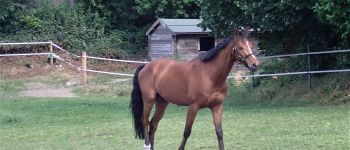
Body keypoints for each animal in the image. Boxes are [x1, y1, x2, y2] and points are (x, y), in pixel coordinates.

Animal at [130, 27, 258, 149]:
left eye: (251, 45)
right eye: (240, 47)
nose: (255, 64)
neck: (209, 75)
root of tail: (146, 66)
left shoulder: (217, 107)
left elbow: (219, 132)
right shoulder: (193, 107)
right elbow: (187, 132)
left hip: (162, 103)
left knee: (153, 124)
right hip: (149, 100)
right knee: (145, 121)